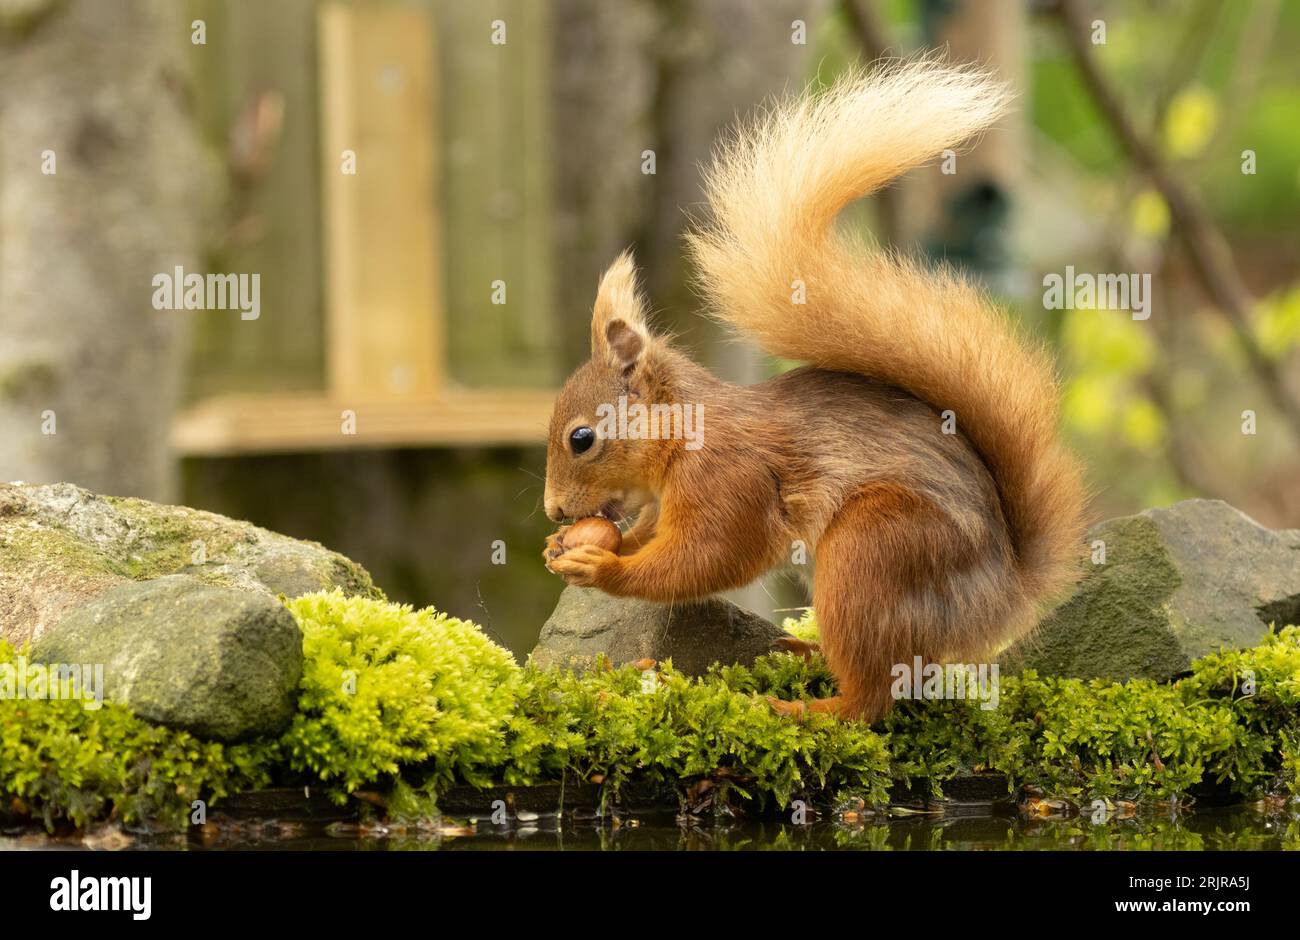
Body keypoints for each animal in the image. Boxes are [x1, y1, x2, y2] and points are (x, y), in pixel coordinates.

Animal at [538, 60, 1086, 722]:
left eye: (582, 438)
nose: (554, 510)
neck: (684, 436)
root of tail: (1004, 595)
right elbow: (652, 535)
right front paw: (564, 547)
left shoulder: (733, 479)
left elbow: (709, 556)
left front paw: (601, 565)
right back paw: (803, 655)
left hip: (874, 549)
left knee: (873, 699)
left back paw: (803, 709)